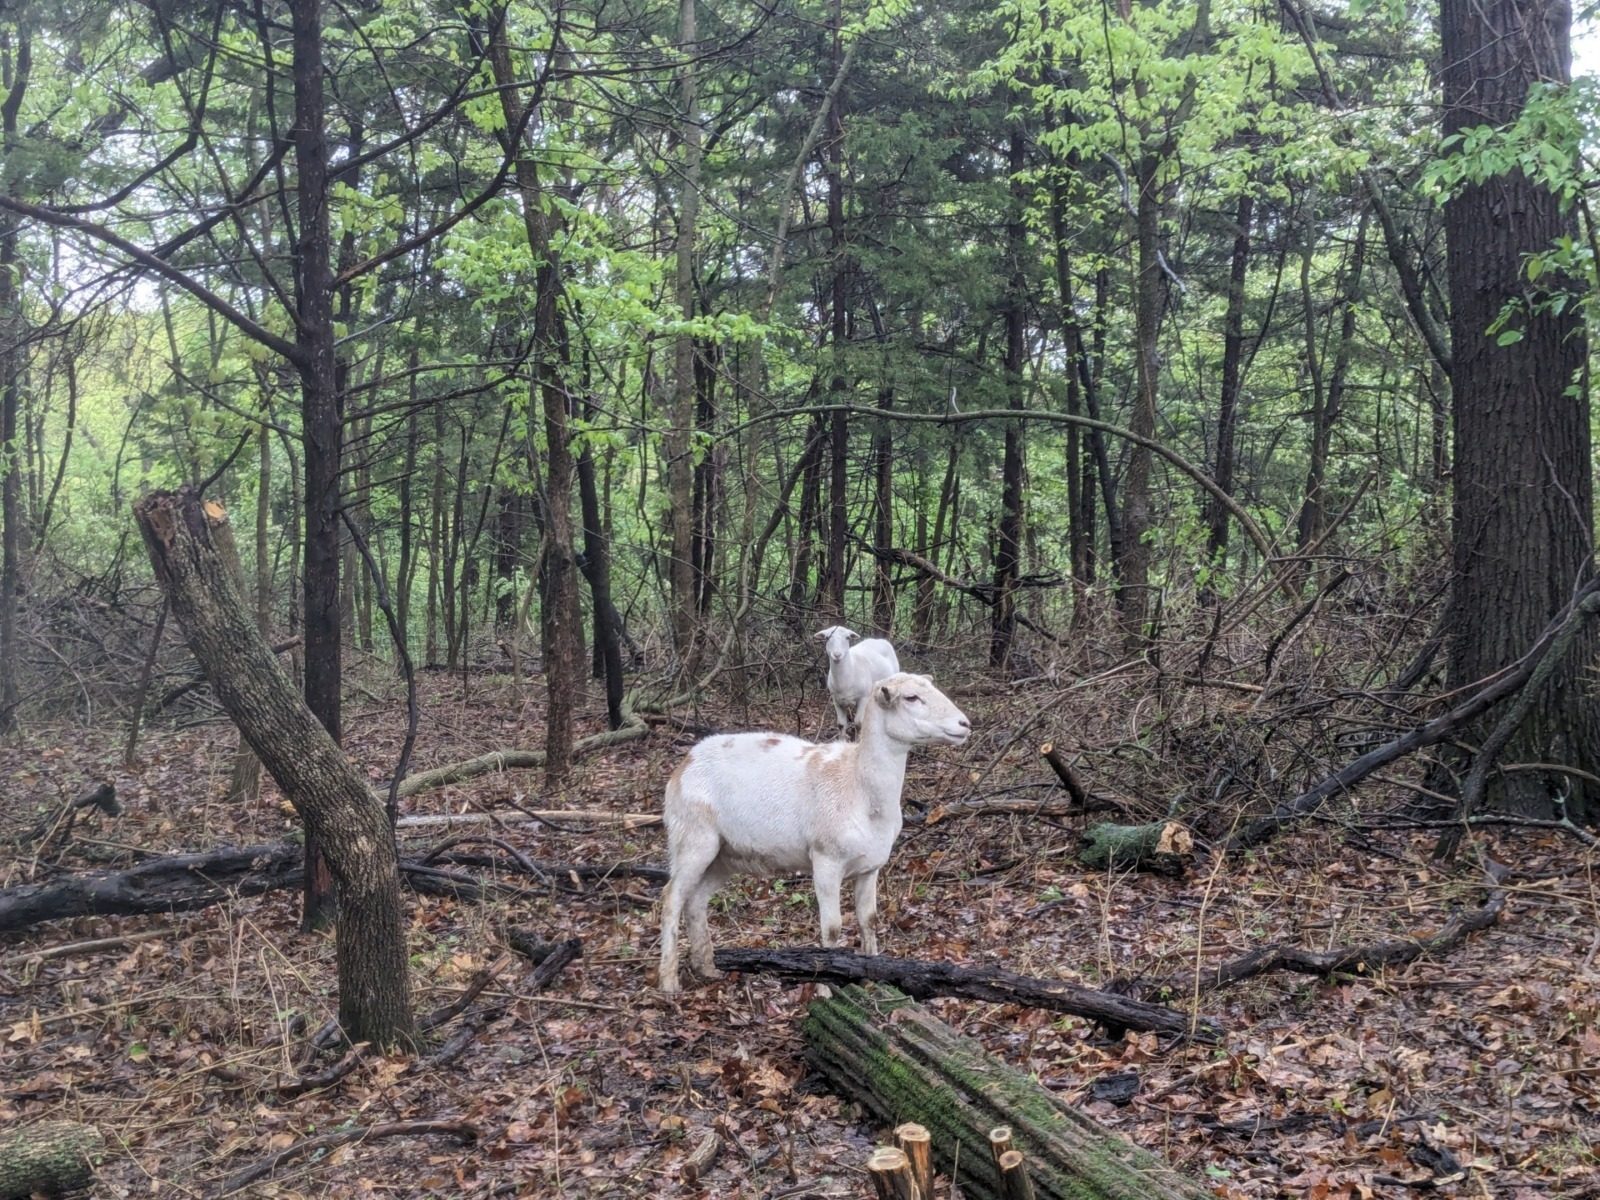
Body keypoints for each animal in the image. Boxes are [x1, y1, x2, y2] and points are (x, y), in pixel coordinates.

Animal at [656, 672, 970, 994]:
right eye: (910, 698)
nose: (964, 724)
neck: (859, 786)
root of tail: (685, 762)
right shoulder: (826, 860)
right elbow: (831, 929)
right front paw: (824, 988)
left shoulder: (871, 866)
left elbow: (868, 920)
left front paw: (874, 978)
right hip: (692, 838)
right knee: (671, 898)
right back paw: (669, 981)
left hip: (725, 855)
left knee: (695, 900)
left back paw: (707, 968)